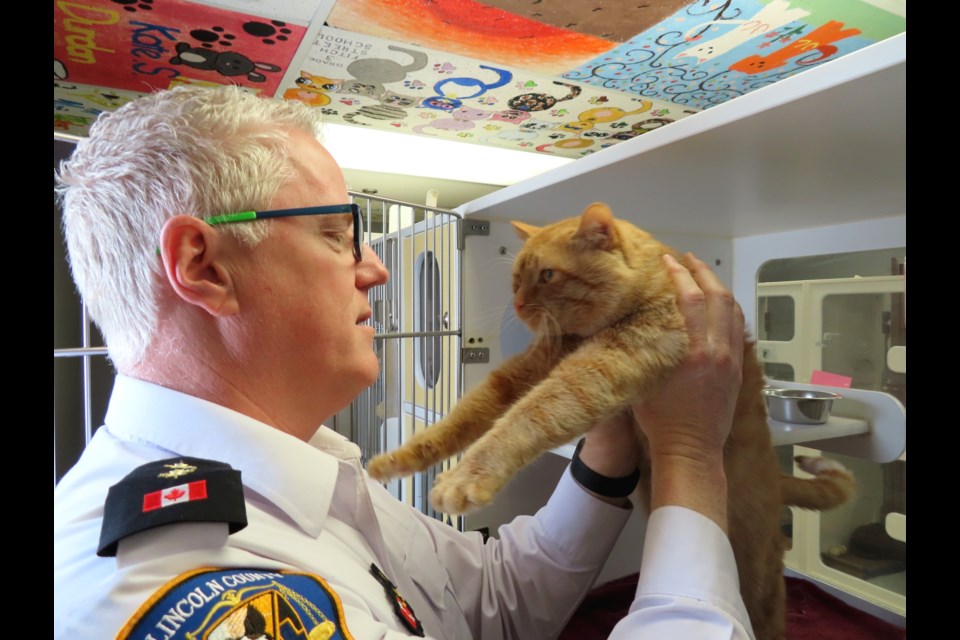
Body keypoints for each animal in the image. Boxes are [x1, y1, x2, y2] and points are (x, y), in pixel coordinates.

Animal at [370, 202, 856, 636]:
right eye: (516, 278)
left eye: (547, 276)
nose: (520, 303)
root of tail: (776, 477)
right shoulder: (526, 371)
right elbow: (466, 416)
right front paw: (400, 459)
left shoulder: (596, 369)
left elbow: (526, 416)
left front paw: (465, 478)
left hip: (757, 582)